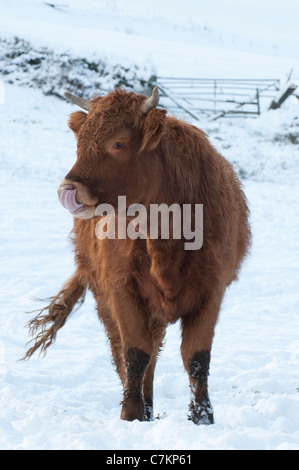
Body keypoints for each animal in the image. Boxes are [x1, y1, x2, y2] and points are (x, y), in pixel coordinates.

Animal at [24, 86, 252, 424]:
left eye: (118, 142)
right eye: (80, 143)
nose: (68, 191)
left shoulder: (212, 290)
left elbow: (196, 357)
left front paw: (202, 416)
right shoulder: (122, 287)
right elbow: (134, 352)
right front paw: (131, 413)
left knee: (154, 349)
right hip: (105, 295)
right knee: (128, 349)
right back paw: (143, 407)